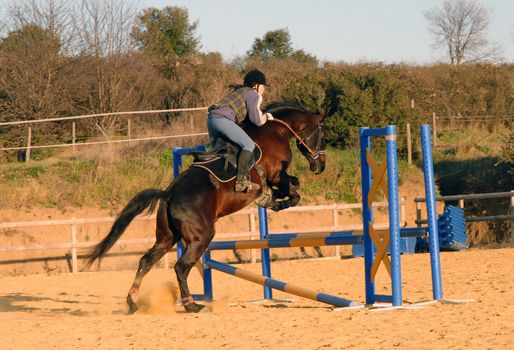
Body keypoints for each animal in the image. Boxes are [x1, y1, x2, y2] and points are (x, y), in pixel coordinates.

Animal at [83, 103, 324, 312]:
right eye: (321, 135)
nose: (320, 166)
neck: (275, 130)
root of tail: (168, 194)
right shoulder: (275, 174)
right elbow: (294, 193)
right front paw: (277, 202)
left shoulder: (276, 177)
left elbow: (293, 184)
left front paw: (270, 198)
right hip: (202, 236)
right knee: (181, 266)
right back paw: (192, 305)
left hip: (167, 237)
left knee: (147, 261)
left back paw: (133, 302)